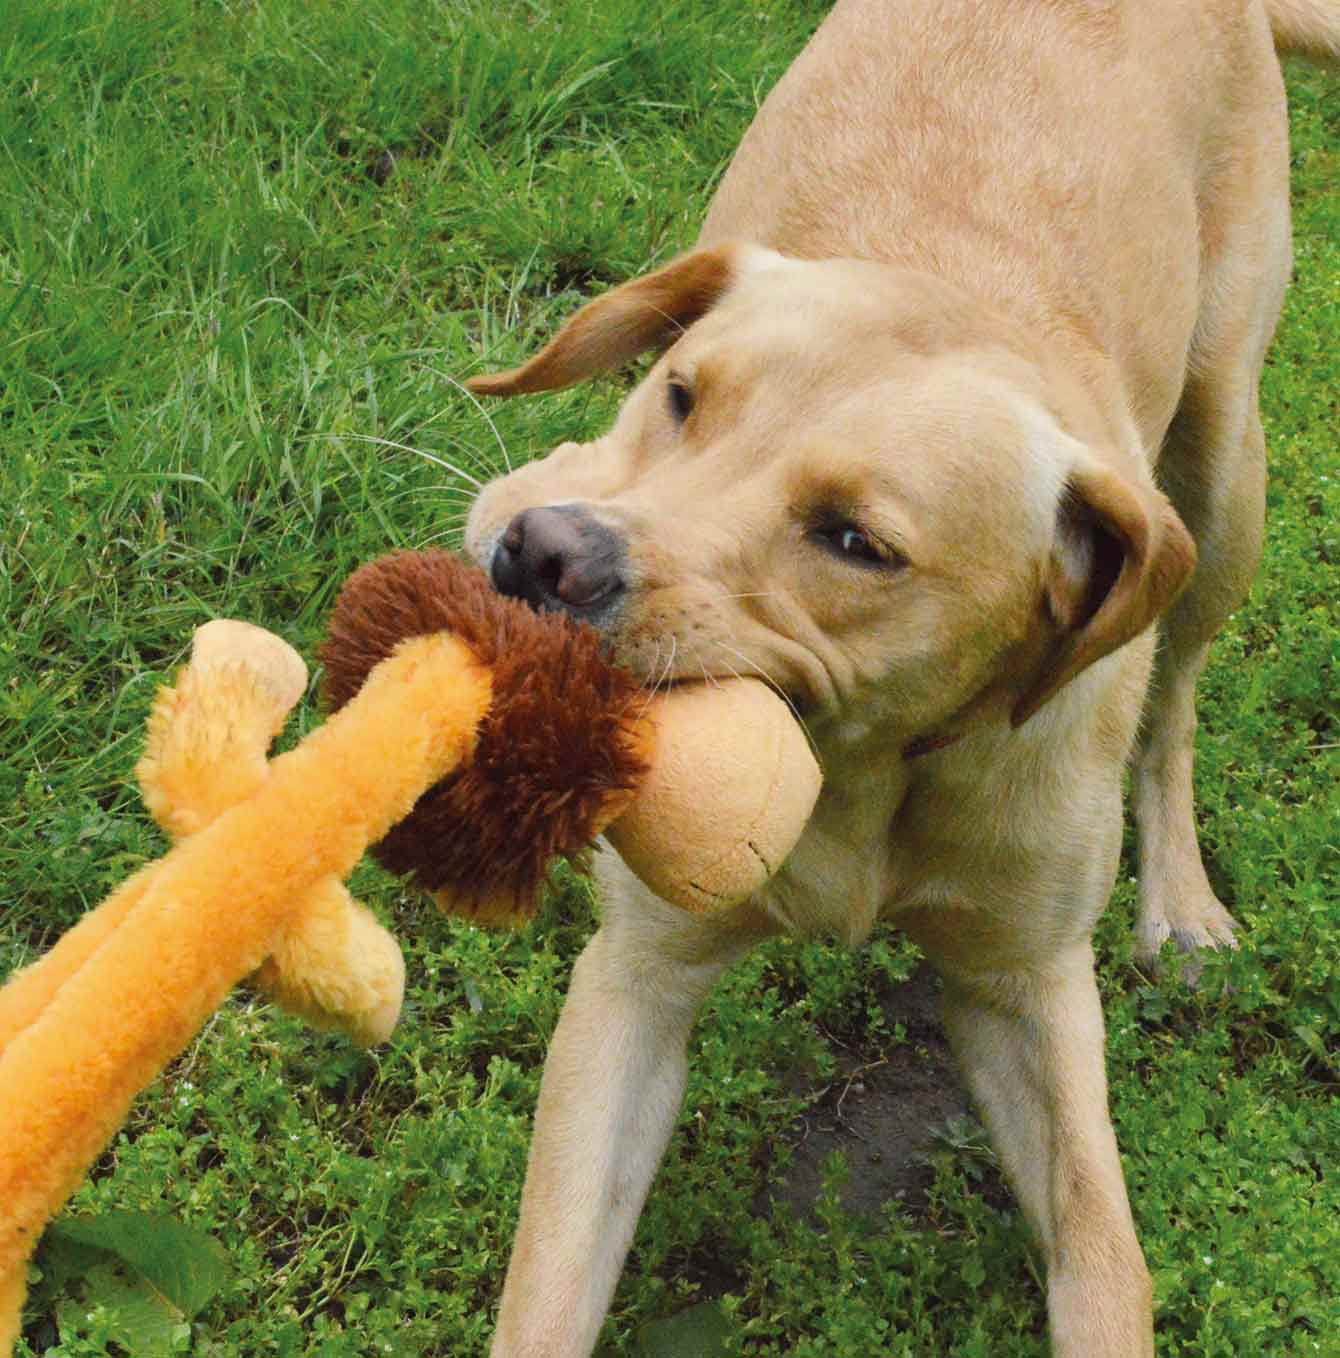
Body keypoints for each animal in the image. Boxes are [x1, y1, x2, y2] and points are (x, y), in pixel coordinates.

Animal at [464, 2, 1340, 1358]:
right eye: (678, 393)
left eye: (855, 541)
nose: (541, 553)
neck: (861, 762)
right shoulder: (633, 981)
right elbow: (548, 1288)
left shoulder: (1026, 988)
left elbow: (1108, 1261)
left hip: (1221, 475)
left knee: (1177, 697)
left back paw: (1182, 902)